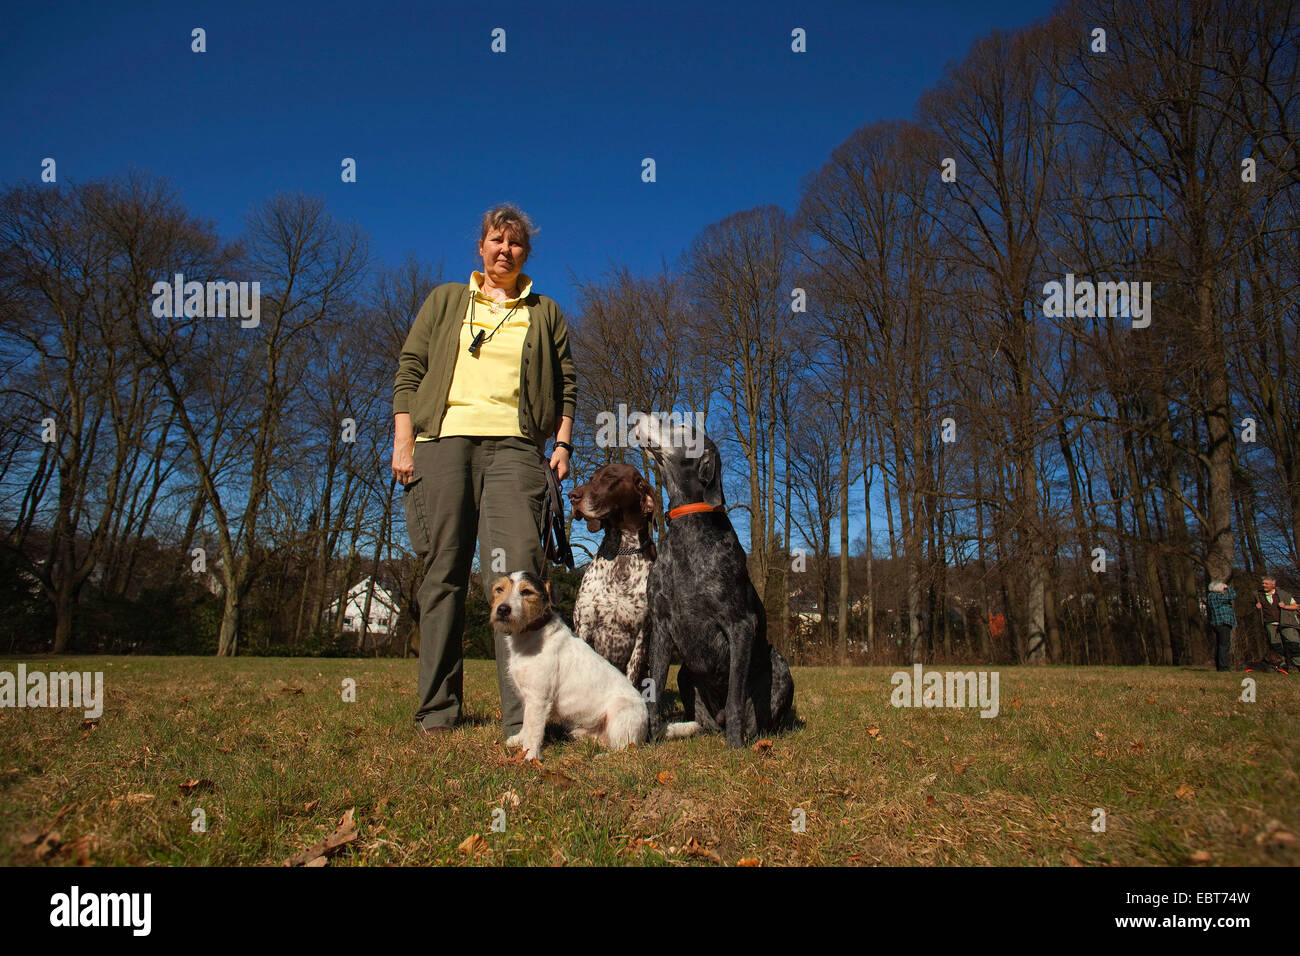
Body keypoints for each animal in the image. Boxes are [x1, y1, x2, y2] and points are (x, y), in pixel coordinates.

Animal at [572, 463, 660, 691]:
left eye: (611, 477)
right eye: (591, 477)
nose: (572, 495)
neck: (622, 551)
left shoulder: (641, 637)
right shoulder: (584, 626)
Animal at [629, 418, 790, 749]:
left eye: (680, 425)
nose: (638, 416)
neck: (688, 525)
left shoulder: (740, 626)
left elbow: (735, 697)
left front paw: (736, 747)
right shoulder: (661, 626)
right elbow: (654, 690)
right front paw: (650, 738)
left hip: (780, 665)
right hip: (685, 675)